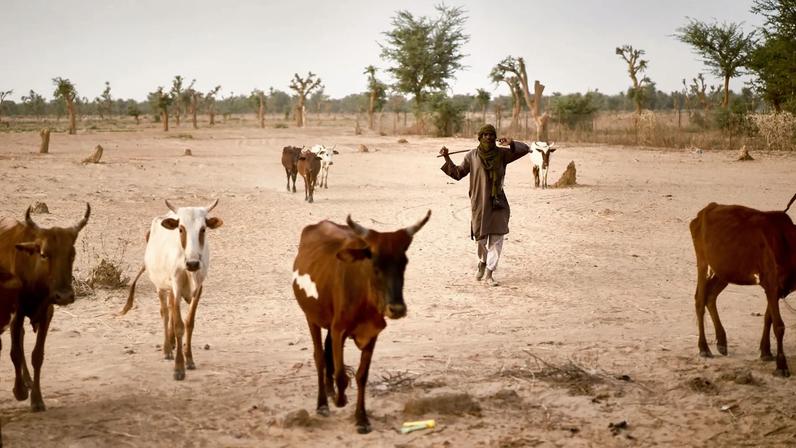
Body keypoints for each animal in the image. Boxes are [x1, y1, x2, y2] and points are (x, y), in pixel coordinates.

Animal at [0, 203, 90, 412]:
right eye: (44, 254)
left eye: (72, 254)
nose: (64, 296)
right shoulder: (17, 312)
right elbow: (15, 352)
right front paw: (19, 391)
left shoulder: (47, 313)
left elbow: (37, 355)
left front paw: (37, 399)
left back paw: (28, 380)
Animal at [121, 199, 223, 381]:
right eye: (181, 229)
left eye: (203, 229)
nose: (193, 263)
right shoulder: (176, 287)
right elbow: (178, 325)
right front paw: (179, 367)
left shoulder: (198, 288)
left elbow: (189, 323)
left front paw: (189, 360)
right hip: (160, 287)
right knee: (165, 313)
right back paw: (167, 349)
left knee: (170, 310)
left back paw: (173, 343)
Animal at [292, 210, 431, 434]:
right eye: (375, 264)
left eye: (404, 263)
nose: (397, 309)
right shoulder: (339, 329)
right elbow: (341, 374)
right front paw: (340, 400)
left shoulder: (372, 332)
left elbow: (361, 375)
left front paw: (361, 418)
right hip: (311, 317)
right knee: (320, 356)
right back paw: (323, 403)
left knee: (328, 351)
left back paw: (330, 390)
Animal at [689, 193, 796, 377]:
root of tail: (704, 211)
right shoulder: (772, 282)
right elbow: (779, 325)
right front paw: (781, 365)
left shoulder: (775, 287)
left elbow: (768, 318)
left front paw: (766, 351)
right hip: (703, 262)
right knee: (700, 300)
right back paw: (704, 348)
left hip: (725, 270)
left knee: (711, 296)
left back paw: (721, 341)